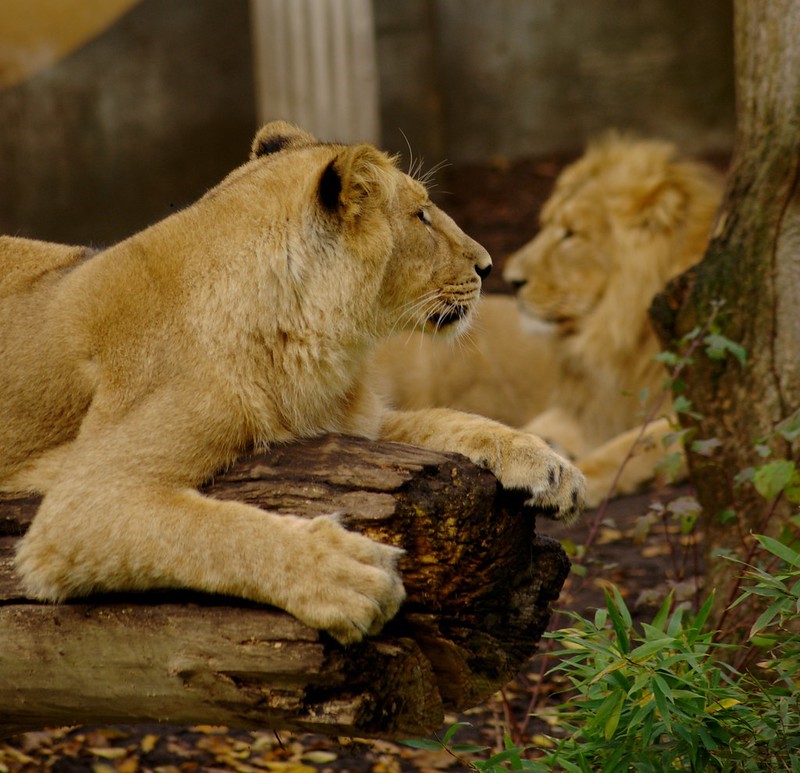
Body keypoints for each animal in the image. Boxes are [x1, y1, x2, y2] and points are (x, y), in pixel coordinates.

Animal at [1, 120, 588, 644]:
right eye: (421, 215)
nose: (488, 266)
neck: (304, 343)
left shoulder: (346, 420)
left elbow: (442, 420)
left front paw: (550, 467)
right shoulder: (84, 502)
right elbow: (215, 531)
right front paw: (343, 574)